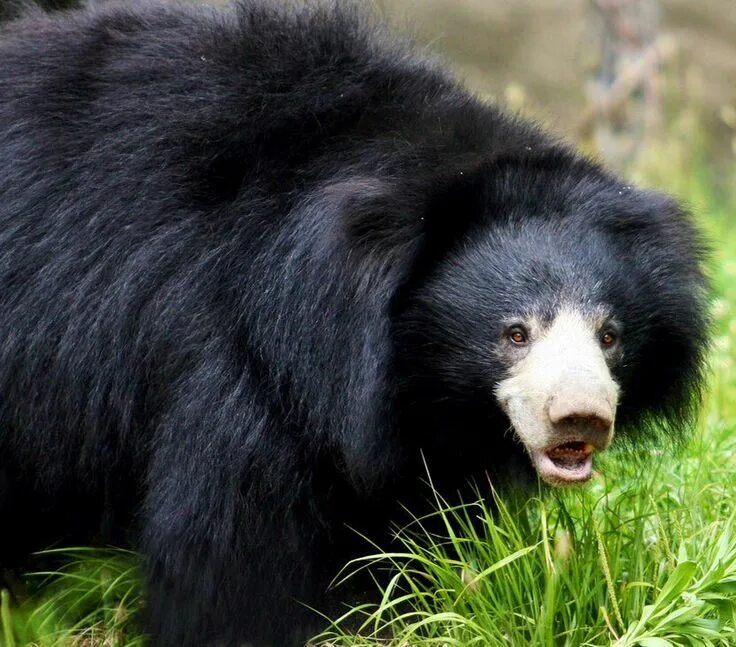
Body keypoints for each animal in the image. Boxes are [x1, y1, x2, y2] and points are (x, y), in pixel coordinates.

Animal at [0, 1, 708, 647]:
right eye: (515, 333)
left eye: (609, 336)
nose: (581, 419)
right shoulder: (238, 361)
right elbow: (229, 546)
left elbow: (412, 528)